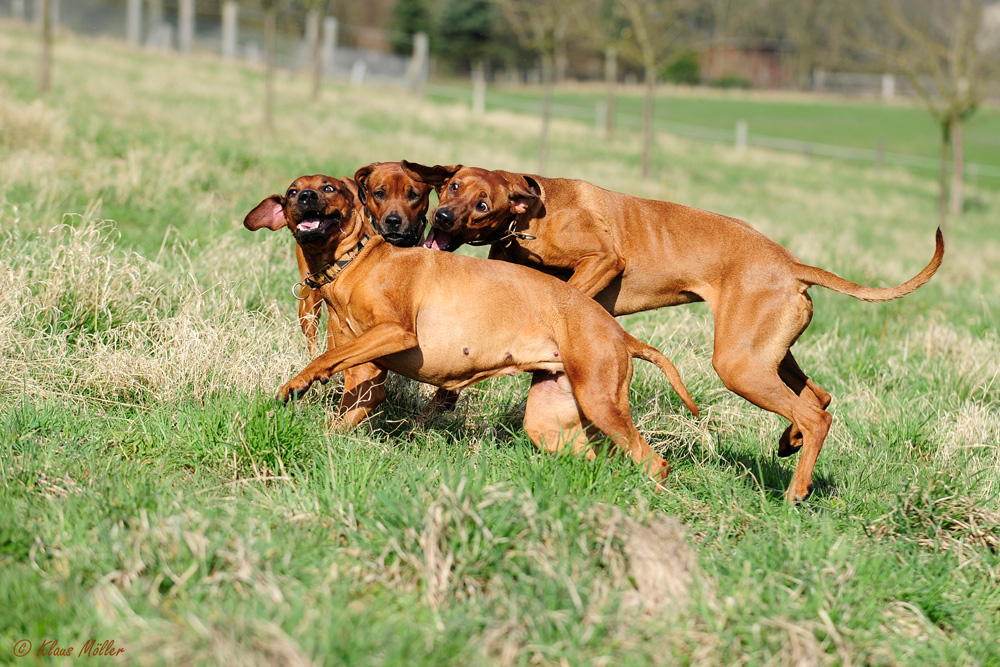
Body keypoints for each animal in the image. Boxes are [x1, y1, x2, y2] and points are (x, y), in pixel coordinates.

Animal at [243, 175, 700, 482]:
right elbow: (342, 400)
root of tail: (621, 333)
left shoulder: (396, 332)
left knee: (654, 462)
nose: (305, 197)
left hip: (600, 400)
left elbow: (326, 356)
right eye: (292, 190)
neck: (351, 263)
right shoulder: (366, 379)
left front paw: (297, 384)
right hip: (552, 420)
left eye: (329, 188)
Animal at [400, 164, 944, 504]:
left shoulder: (604, 260)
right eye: (452, 188)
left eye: (483, 204)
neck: (535, 210)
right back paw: (789, 444)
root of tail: (790, 264)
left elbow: (573, 293)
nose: (441, 217)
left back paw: (797, 488)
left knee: (816, 413)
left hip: (738, 365)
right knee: (819, 396)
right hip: (763, 352)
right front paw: (442, 400)